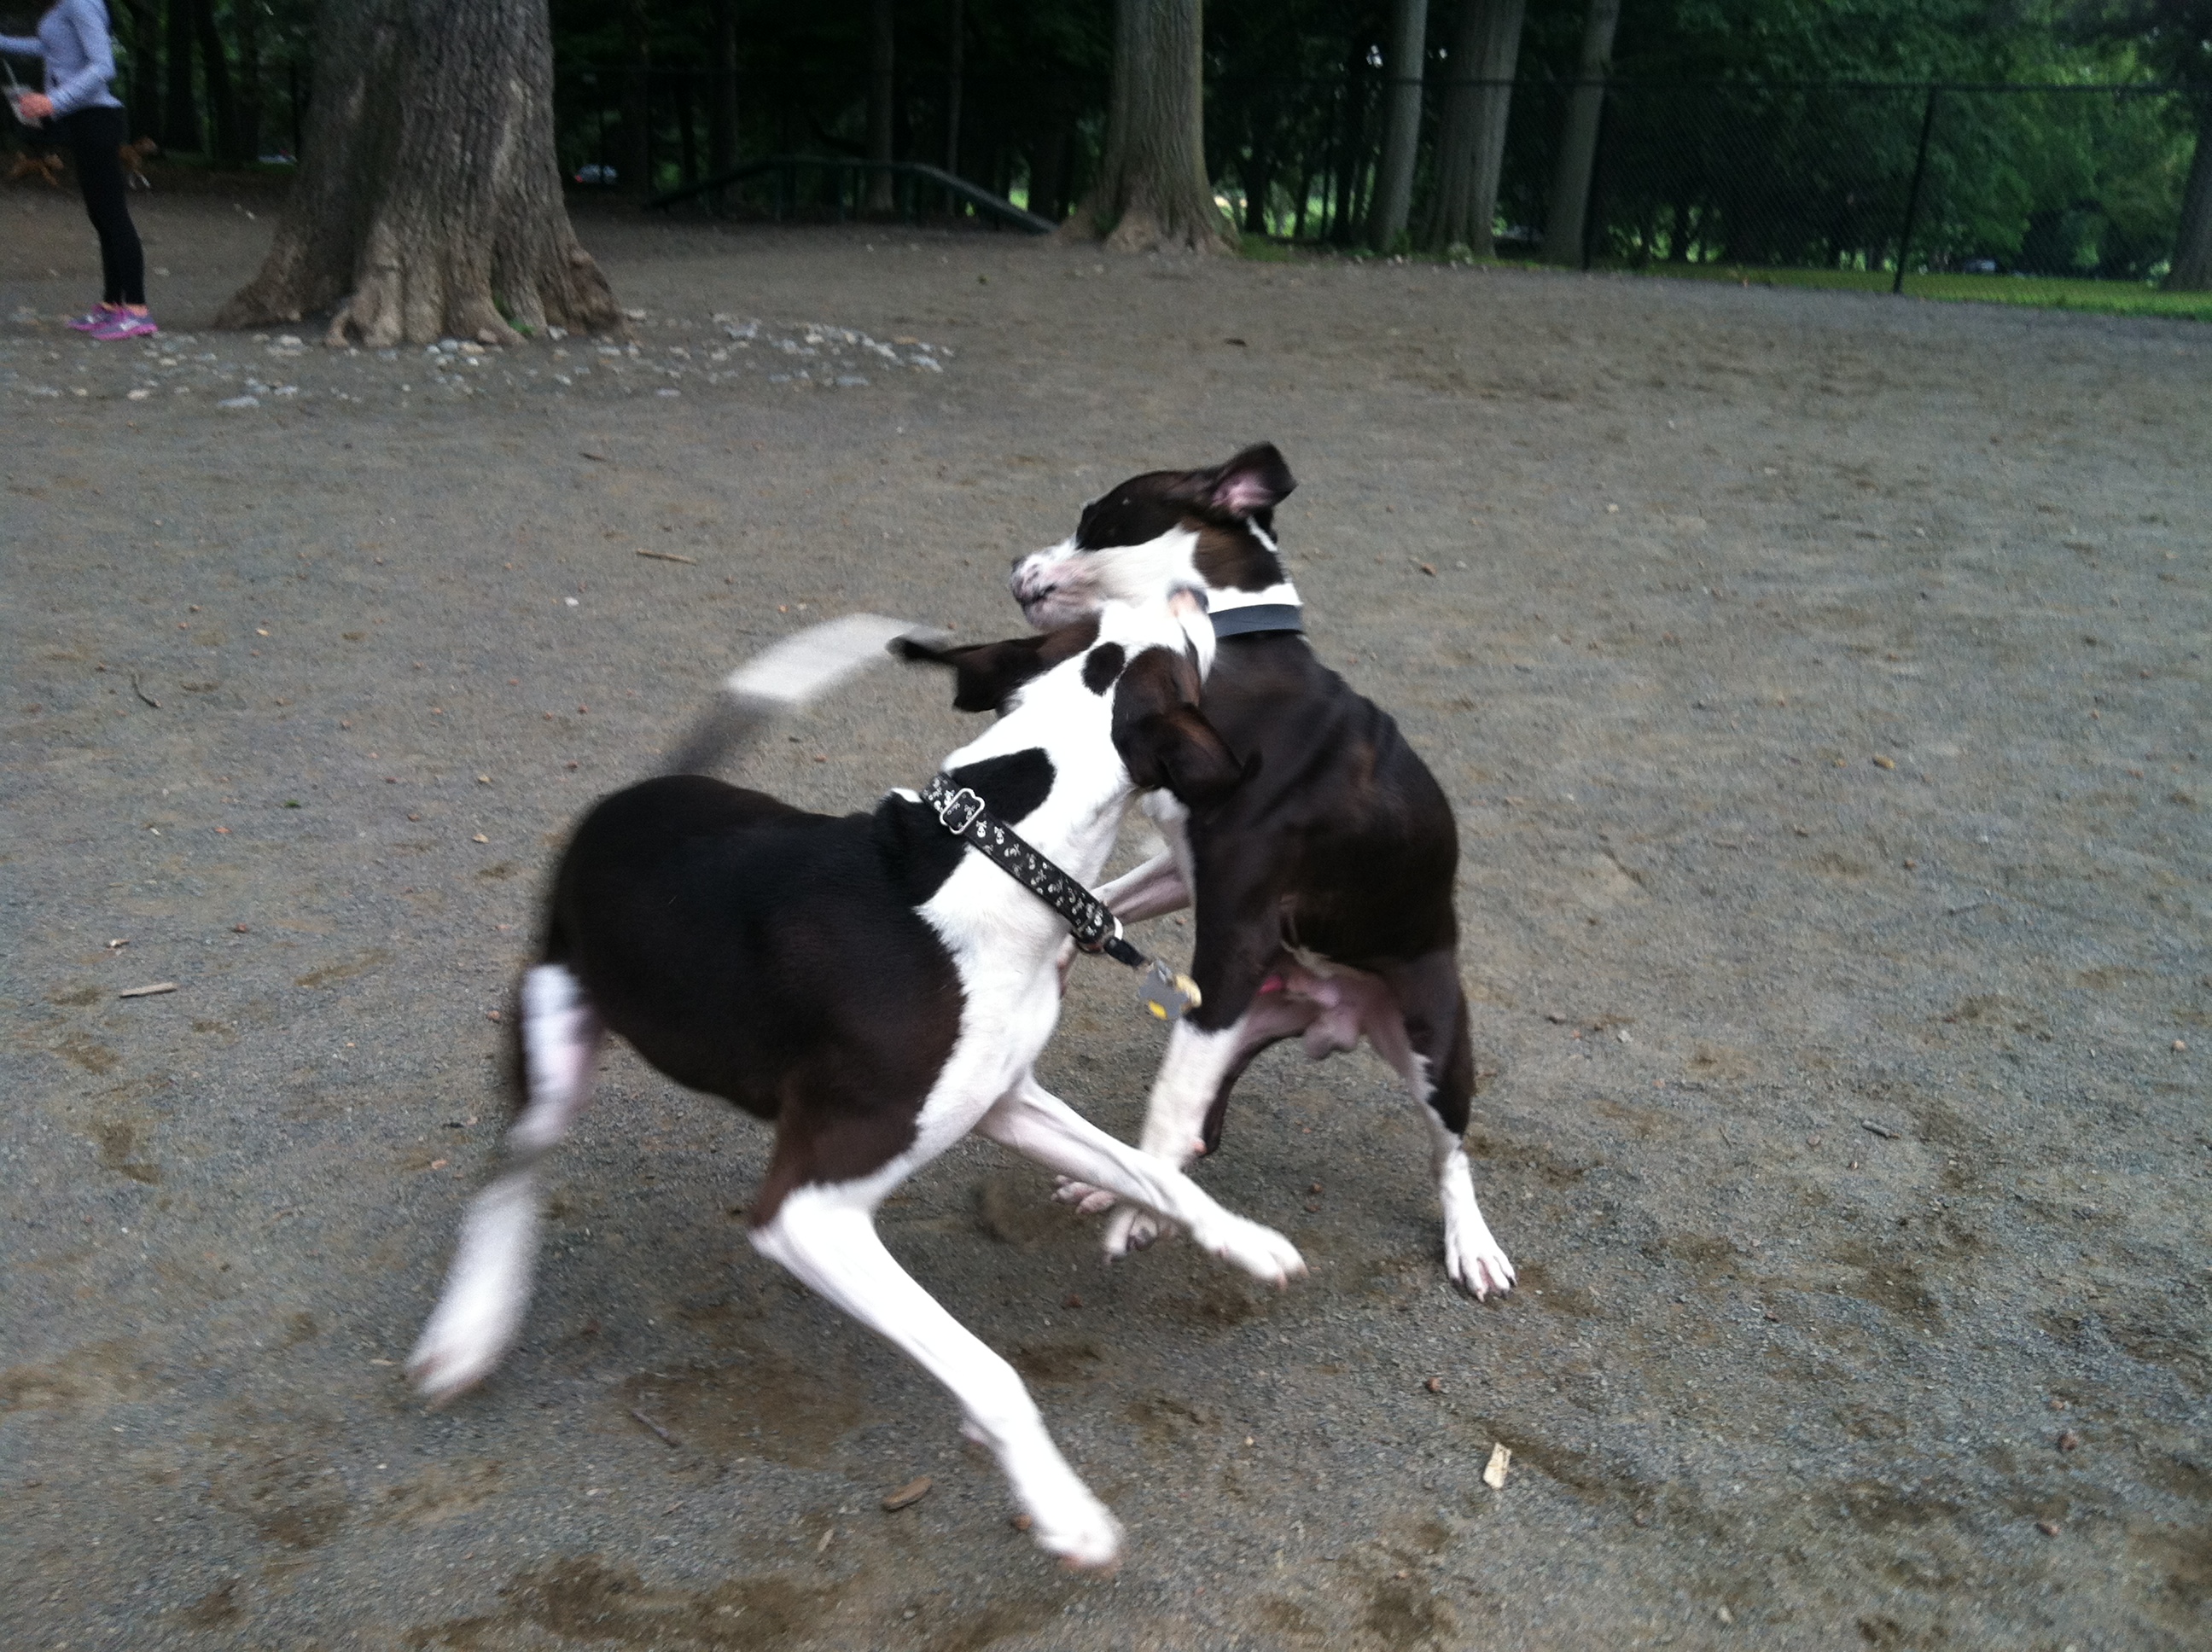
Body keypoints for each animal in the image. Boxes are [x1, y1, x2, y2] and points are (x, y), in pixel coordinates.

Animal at [407, 600, 1303, 1570]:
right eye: (1183, 655)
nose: (1196, 602)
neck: (999, 857)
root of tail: (638, 787)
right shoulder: (809, 1208)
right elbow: (988, 1368)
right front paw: (1061, 1503)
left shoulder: (1006, 1103)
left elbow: (1154, 1175)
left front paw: (1246, 1241)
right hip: (555, 1036)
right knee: (511, 1172)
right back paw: (469, 1326)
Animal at [1008, 444, 1517, 1301]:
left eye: (1095, 520)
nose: (1017, 566)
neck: (1225, 649)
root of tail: (1333, 1018)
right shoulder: (1186, 875)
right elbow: (1102, 901)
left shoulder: (1236, 932)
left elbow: (1167, 1102)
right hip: (1231, 1025)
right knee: (1198, 1133)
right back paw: (1115, 1189)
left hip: (1432, 1049)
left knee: (1450, 1155)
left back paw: (1471, 1244)